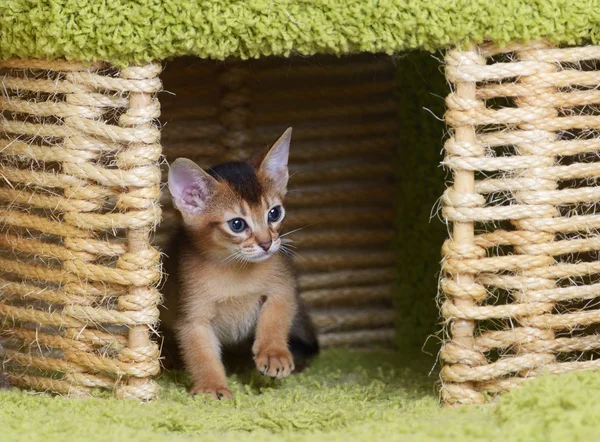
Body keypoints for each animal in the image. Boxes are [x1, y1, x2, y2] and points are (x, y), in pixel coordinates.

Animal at [159, 126, 318, 398]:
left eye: (274, 213)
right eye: (237, 224)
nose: (267, 243)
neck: (234, 269)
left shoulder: (284, 287)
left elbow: (275, 318)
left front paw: (274, 354)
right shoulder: (193, 317)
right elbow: (201, 355)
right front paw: (211, 386)